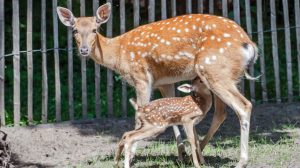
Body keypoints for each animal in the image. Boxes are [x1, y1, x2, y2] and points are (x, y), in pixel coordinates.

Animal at [58, 2, 258, 167]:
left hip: (214, 70)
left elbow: (139, 114)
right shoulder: (164, 82)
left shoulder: (141, 77)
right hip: (223, 76)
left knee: (243, 106)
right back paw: (198, 151)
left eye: (94, 29)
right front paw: (181, 155)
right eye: (74, 30)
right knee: (221, 113)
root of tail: (250, 45)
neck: (118, 54)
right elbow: (172, 116)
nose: (84, 50)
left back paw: (241, 161)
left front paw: (131, 156)